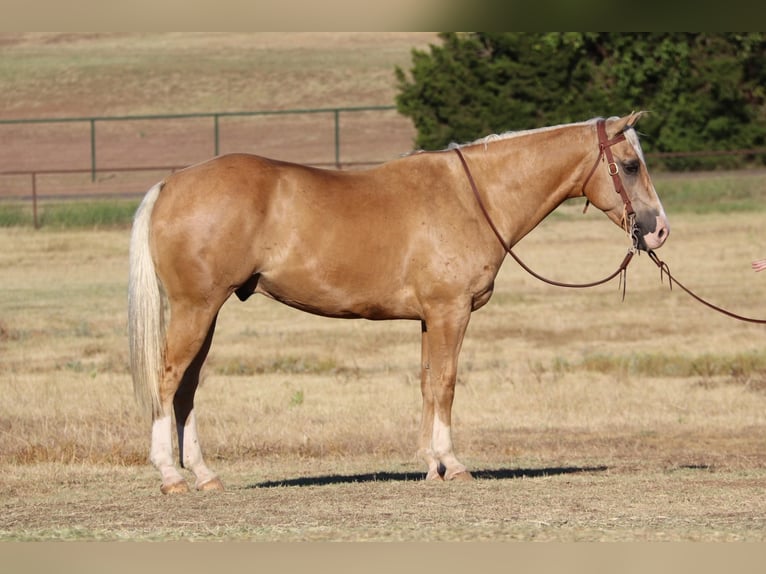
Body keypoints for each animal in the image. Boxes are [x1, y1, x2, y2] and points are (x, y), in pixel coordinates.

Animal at [129, 111, 668, 496]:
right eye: (630, 165)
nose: (659, 229)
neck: (473, 197)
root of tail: (170, 184)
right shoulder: (451, 312)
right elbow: (447, 384)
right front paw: (454, 465)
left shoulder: (431, 318)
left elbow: (428, 384)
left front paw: (431, 465)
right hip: (197, 308)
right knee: (169, 378)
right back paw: (171, 476)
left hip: (207, 313)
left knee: (187, 388)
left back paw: (204, 474)